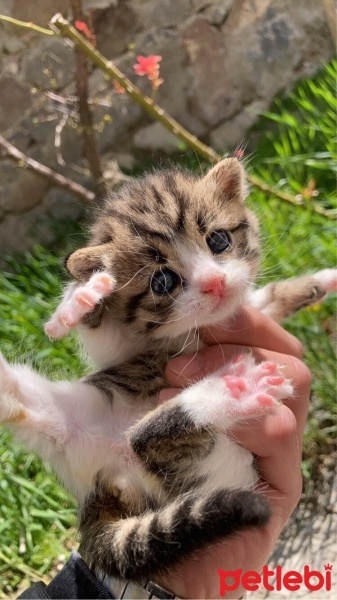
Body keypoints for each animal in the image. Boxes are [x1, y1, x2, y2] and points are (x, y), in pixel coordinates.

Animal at [0, 159, 334, 584]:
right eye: (163, 282)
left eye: (218, 240)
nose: (214, 283)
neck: (191, 333)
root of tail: (101, 490)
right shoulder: (120, 349)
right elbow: (100, 332)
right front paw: (80, 299)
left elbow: (265, 299)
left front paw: (318, 282)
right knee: (143, 438)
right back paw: (233, 391)